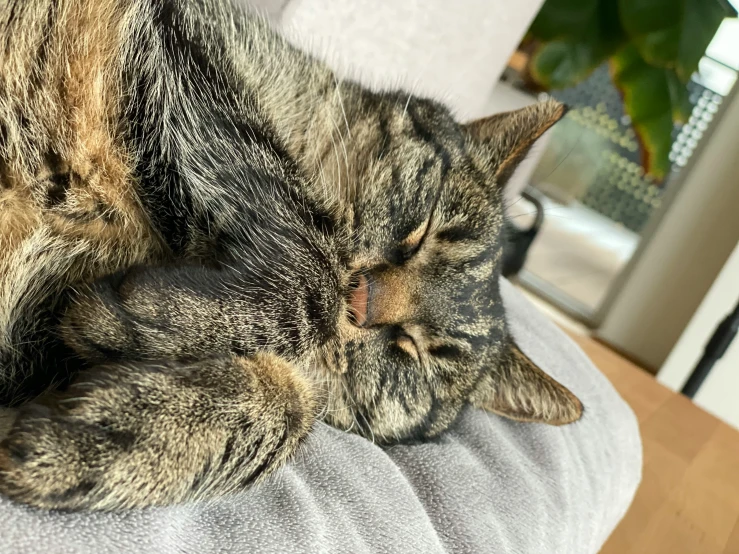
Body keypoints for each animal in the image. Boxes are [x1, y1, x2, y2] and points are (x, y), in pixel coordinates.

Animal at [0, 0, 584, 508]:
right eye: (423, 233)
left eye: (414, 352)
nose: (361, 303)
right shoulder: (195, 46)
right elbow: (312, 258)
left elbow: (293, 414)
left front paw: (123, 433)